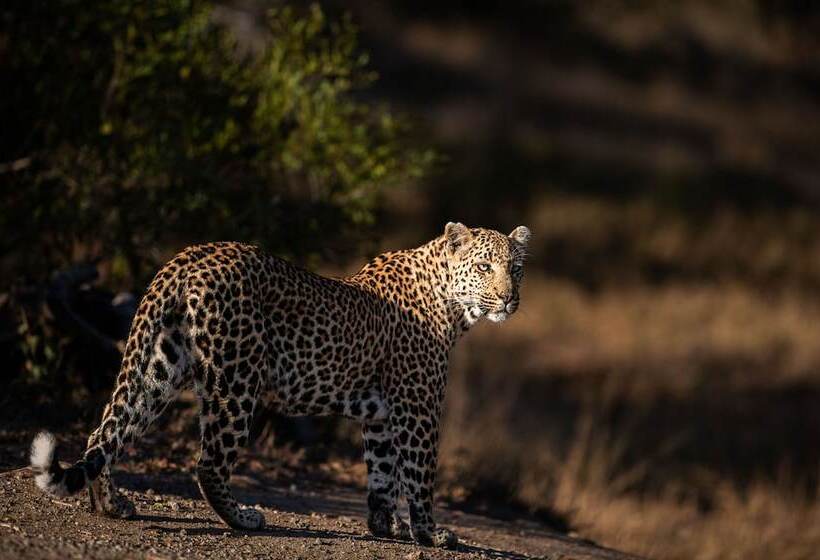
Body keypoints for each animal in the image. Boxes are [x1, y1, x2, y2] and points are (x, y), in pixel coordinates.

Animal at [30, 222, 530, 549]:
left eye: (516, 269)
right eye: (484, 267)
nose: (510, 298)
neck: (454, 306)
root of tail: (188, 256)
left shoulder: (383, 415)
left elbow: (382, 472)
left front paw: (383, 526)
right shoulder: (417, 408)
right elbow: (420, 474)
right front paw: (430, 533)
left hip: (158, 367)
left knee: (106, 433)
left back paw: (111, 504)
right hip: (236, 380)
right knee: (209, 463)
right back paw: (244, 518)